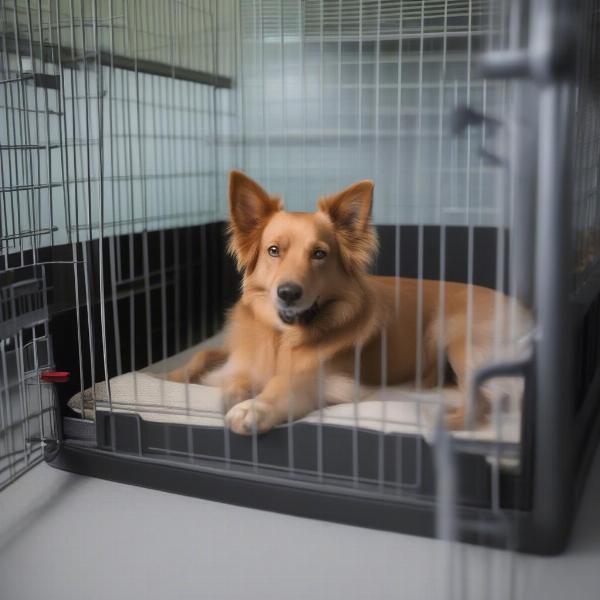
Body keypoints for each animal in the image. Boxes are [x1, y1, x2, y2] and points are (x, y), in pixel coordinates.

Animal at [168, 171, 528, 434]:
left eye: (319, 254)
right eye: (273, 250)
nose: (288, 293)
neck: (283, 338)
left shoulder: (328, 380)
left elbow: (285, 384)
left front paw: (255, 407)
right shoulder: (240, 354)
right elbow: (209, 356)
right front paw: (177, 378)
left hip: (454, 335)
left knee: (481, 404)